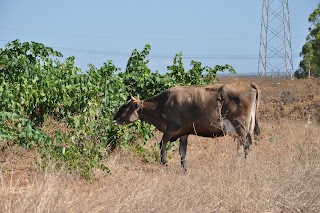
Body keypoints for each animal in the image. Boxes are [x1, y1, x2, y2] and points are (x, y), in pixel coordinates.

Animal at [112, 82, 260, 172]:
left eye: (126, 106)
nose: (114, 119)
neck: (164, 104)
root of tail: (249, 86)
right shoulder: (184, 133)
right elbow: (182, 152)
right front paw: (184, 169)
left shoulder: (170, 130)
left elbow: (162, 145)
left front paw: (165, 164)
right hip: (246, 129)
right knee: (247, 145)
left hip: (241, 127)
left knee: (244, 146)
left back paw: (239, 165)